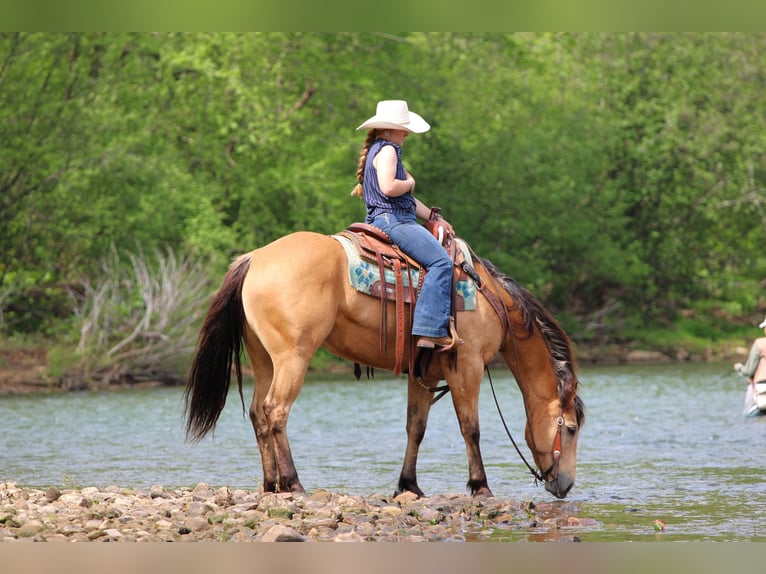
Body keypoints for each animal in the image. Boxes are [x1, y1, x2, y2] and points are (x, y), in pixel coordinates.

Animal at [183, 230, 585, 499]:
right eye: (570, 429)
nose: (565, 485)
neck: (490, 299)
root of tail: (254, 258)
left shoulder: (424, 374)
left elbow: (415, 428)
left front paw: (409, 486)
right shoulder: (466, 368)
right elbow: (470, 429)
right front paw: (480, 486)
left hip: (265, 359)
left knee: (257, 414)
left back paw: (271, 484)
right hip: (293, 357)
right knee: (275, 411)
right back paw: (294, 482)